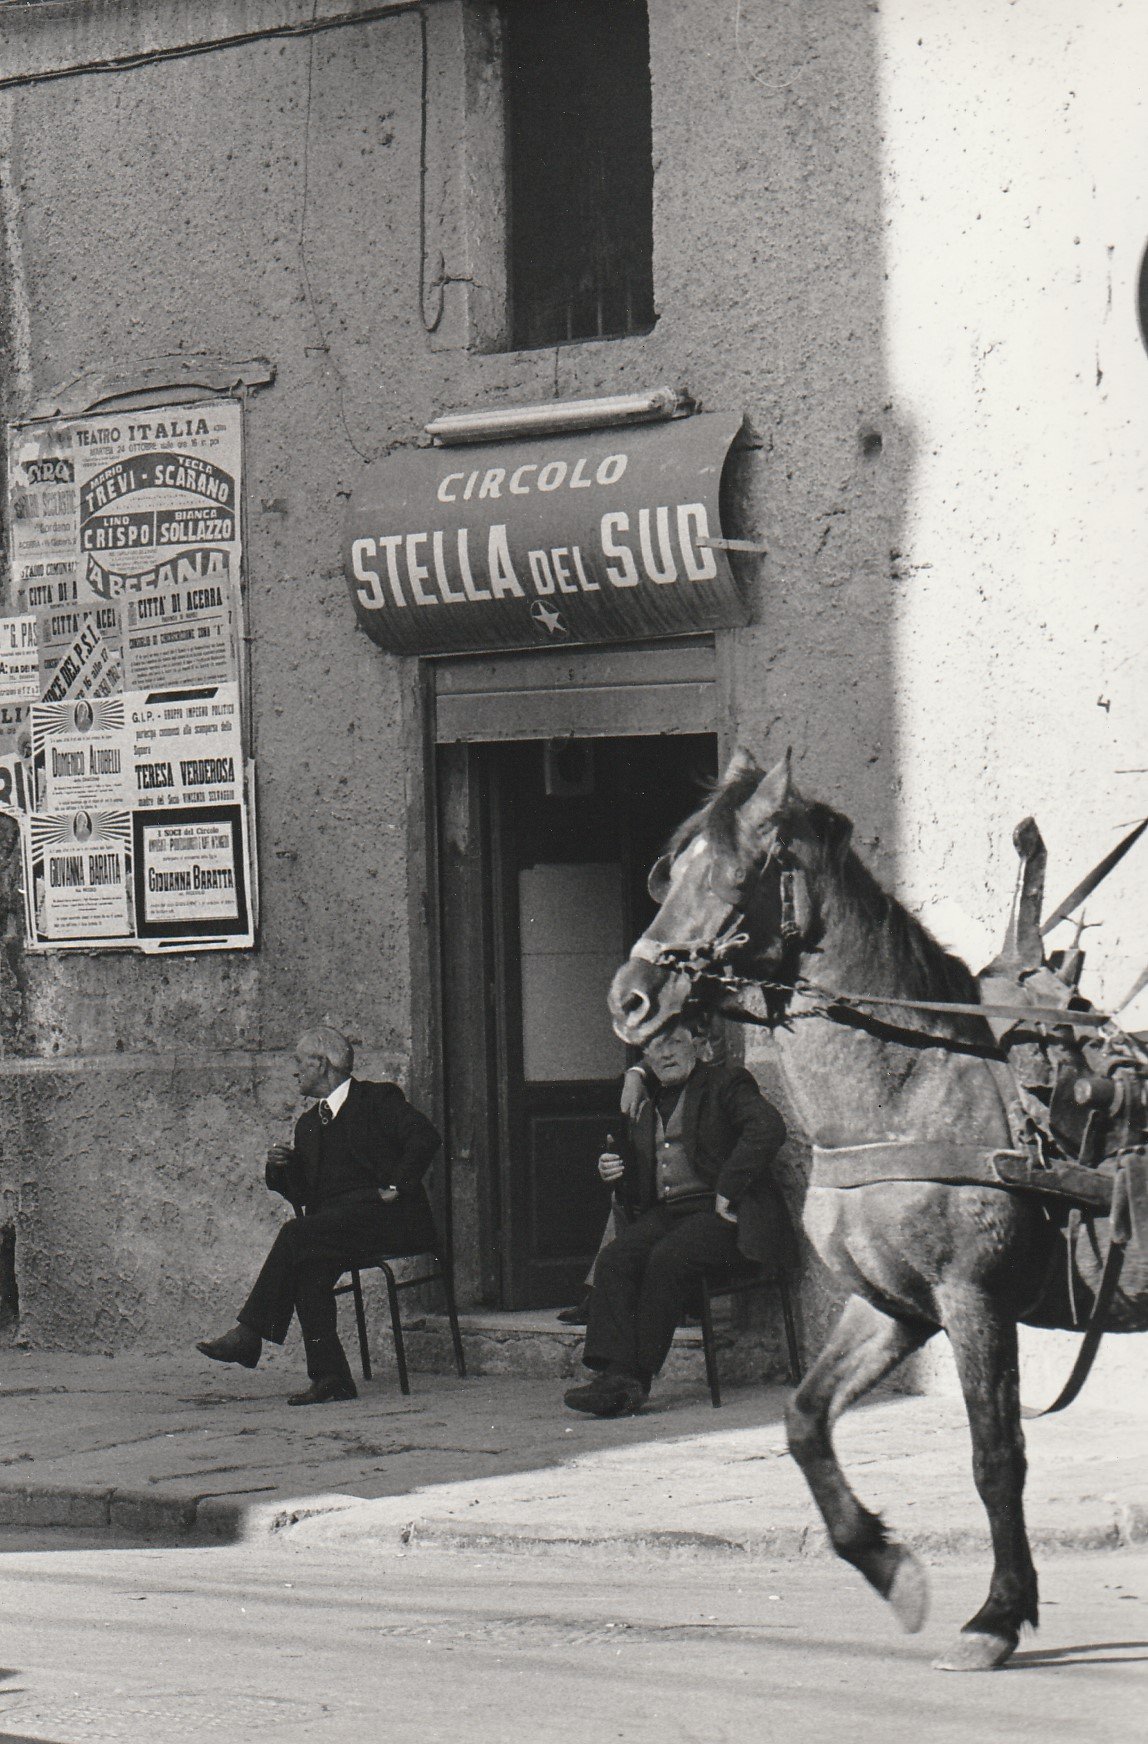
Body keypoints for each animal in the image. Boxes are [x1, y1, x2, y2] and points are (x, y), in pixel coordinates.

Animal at [607, 746, 1147, 1672]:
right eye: (667, 873)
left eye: (734, 874)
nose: (631, 998)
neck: (914, 1085)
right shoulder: (892, 1305)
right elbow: (804, 1420)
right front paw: (888, 1565)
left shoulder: (973, 1300)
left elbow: (995, 1455)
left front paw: (997, 1616)